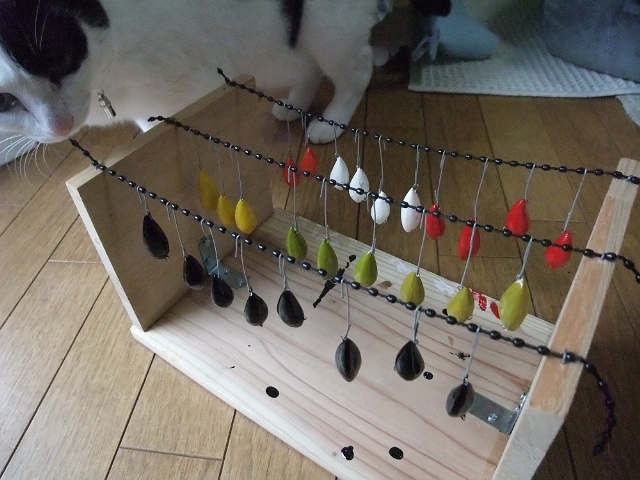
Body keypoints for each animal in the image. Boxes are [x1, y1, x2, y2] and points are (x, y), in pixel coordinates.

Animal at [0, 0, 449, 150]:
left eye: (60, 58)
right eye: (4, 102)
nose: (60, 125)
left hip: (327, 27)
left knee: (356, 70)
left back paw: (330, 123)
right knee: (309, 68)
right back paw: (291, 106)